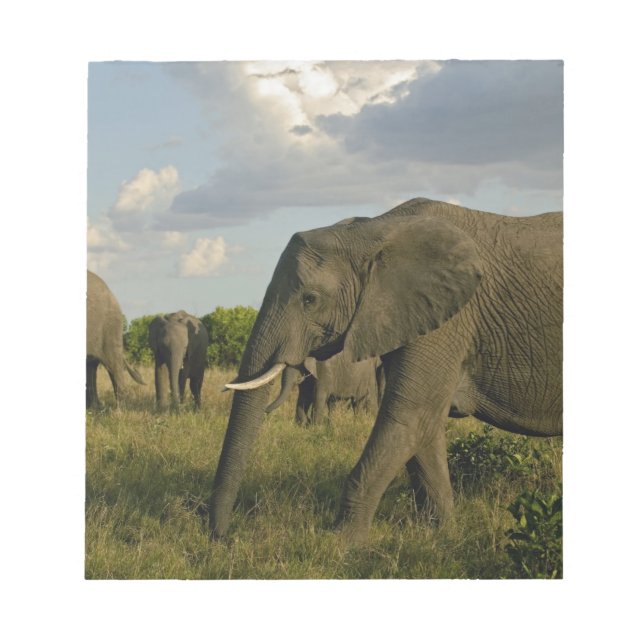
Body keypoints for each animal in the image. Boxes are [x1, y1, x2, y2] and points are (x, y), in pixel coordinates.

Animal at [209, 198, 563, 545]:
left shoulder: (450, 320)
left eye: (310, 299)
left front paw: (339, 543)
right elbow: (424, 428)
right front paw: (439, 534)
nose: (223, 538)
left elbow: (409, 416)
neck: (373, 231)